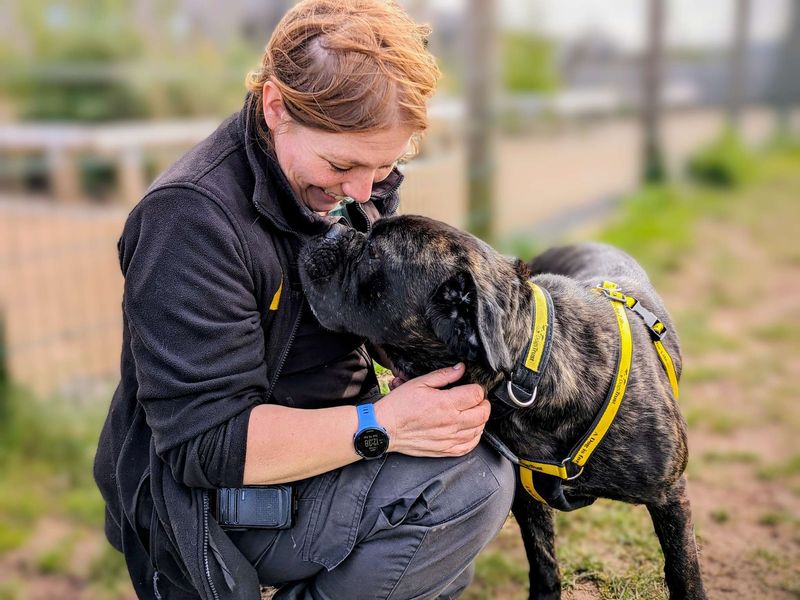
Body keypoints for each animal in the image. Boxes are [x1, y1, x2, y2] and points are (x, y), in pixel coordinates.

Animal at [296, 213, 704, 596]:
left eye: (373, 253)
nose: (331, 226)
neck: (529, 371)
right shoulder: (528, 498)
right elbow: (542, 560)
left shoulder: (671, 499)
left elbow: (683, 572)